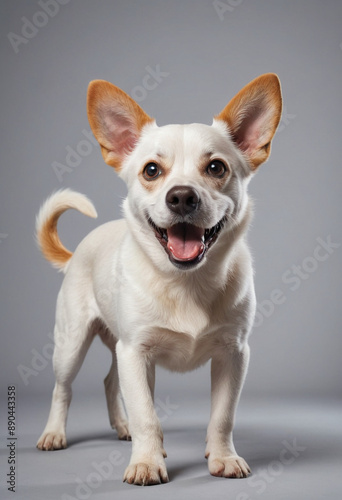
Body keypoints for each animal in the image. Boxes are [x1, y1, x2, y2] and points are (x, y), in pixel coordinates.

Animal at [34, 74, 282, 484]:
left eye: (216, 168)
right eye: (151, 171)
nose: (181, 197)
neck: (187, 283)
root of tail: (76, 254)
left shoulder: (232, 354)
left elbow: (222, 416)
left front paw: (223, 457)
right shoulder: (136, 353)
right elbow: (147, 416)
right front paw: (147, 462)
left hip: (118, 349)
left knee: (109, 382)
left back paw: (122, 428)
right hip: (72, 346)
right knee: (62, 389)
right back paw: (55, 433)